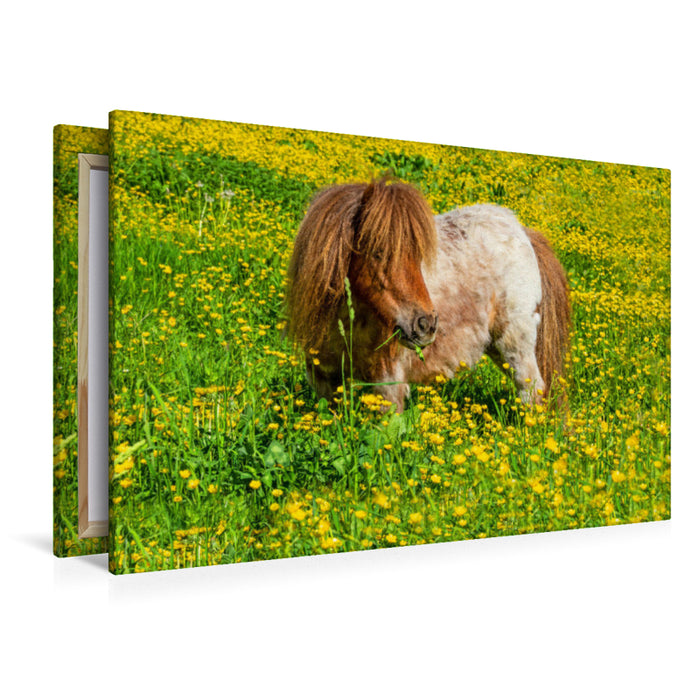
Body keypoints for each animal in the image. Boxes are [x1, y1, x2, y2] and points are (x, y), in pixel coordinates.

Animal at [286, 179, 570, 412]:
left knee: (533, 392)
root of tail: (522, 230)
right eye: (378, 252)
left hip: (515, 344)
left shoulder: (387, 385)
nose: (425, 325)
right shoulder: (325, 380)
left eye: (417, 255)